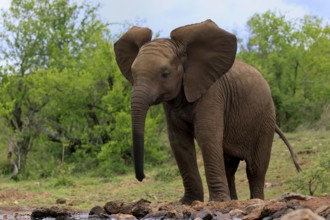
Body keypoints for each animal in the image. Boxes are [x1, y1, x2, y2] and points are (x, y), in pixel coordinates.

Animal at [114, 19, 302, 204]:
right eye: (132, 73)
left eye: (165, 74)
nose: (141, 177)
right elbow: (178, 140)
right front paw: (188, 202)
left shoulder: (212, 92)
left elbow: (207, 134)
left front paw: (217, 202)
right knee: (229, 167)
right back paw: (233, 200)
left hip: (266, 117)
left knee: (256, 168)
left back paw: (255, 200)